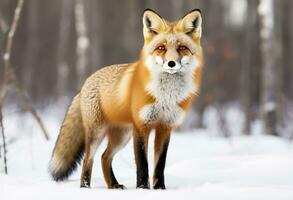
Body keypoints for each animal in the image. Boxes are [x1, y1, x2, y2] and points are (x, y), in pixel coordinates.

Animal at [48, 8, 203, 190]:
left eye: (182, 48)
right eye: (161, 48)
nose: (171, 63)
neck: (166, 96)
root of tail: (85, 82)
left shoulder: (165, 127)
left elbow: (159, 165)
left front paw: (159, 189)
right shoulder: (141, 126)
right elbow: (142, 164)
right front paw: (143, 188)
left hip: (121, 137)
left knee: (104, 157)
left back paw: (113, 185)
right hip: (97, 133)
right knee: (88, 159)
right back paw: (85, 187)